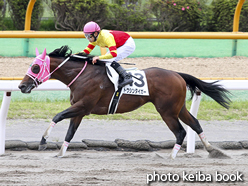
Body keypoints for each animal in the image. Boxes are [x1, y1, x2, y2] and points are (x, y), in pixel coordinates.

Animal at [18, 45, 231, 158]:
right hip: (178, 108)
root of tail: (177, 74)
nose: (21, 86)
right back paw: (212, 150)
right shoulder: (79, 110)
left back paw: (171, 156)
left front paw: (43, 142)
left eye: (35, 67)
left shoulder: (83, 106)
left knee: (180, 132)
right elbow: (70, 132)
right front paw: (60, 153)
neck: (82, 75)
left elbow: (57, 116)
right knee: (195, 123)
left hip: (167, 111)